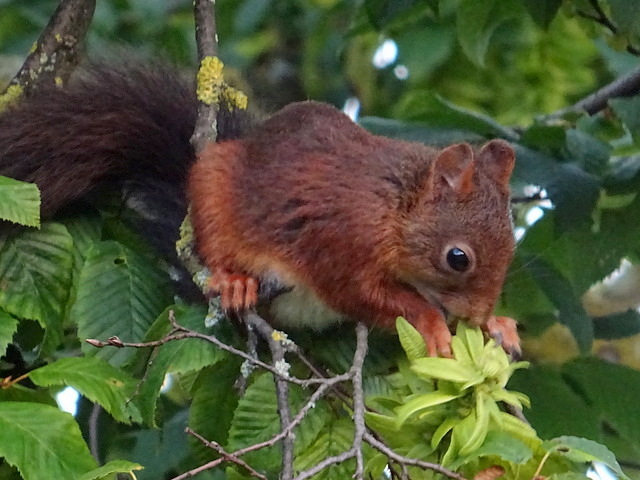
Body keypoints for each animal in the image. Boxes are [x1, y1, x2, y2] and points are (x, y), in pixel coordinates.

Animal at [0, 62, 518, 357]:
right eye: (458, 258)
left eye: (511, 249)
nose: (477, 315)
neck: (393, 208)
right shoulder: (339, 241)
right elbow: (365, 295)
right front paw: (432, 324)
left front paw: (498, 326)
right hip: (213, 195)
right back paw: (233, 283)